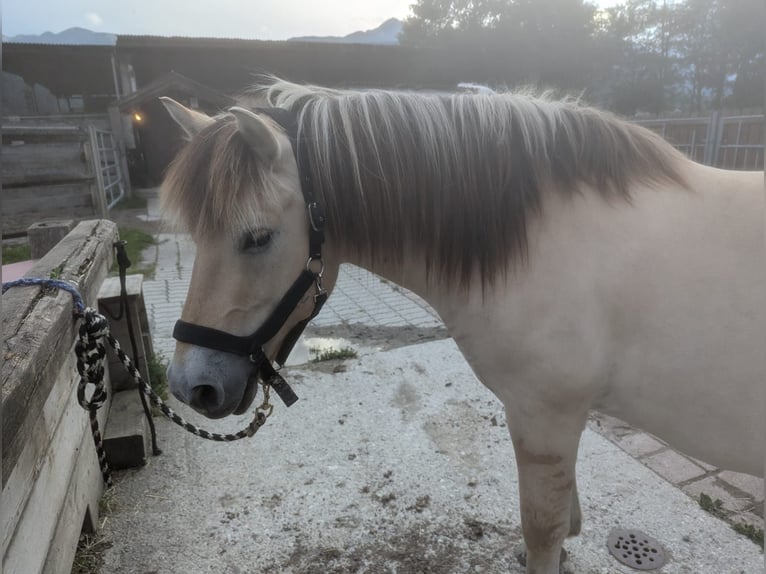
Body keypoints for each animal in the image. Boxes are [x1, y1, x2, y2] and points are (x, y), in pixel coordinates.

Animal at [159, 82, 764, 574]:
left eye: (257, 238)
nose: (192, 387)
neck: (538, 242)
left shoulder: (545, 417)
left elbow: (542, 529)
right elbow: (562, 520)